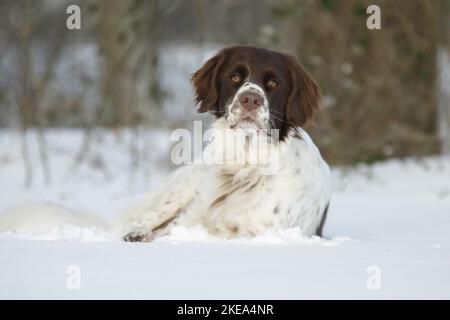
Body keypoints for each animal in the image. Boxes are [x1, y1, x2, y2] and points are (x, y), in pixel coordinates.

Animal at [119, 46, 330, 242]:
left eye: (273, 83)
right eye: (234, 77)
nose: (250, 99)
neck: (245, 163)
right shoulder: (190, 218)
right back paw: (136, 232)